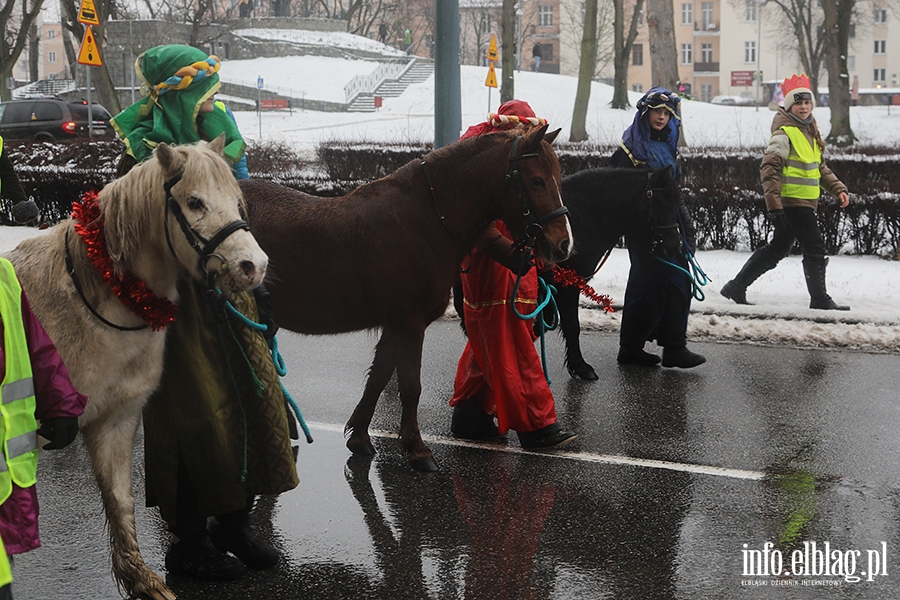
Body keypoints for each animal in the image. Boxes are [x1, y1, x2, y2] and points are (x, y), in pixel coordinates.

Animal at [4, 136, 268, 600]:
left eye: (238, 201)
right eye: (194, 202)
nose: (254, 266)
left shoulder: (115, 420)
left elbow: (120, 500)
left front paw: (142, 580)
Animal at [243, 126, 572, 472]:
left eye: (557, 178)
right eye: (537, 180)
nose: (562, 244)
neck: (425, 219)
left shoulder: (395, 325)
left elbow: (378, 379)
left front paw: (359, 437)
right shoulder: (409, 324)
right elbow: (411, 386)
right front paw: (417, 448)